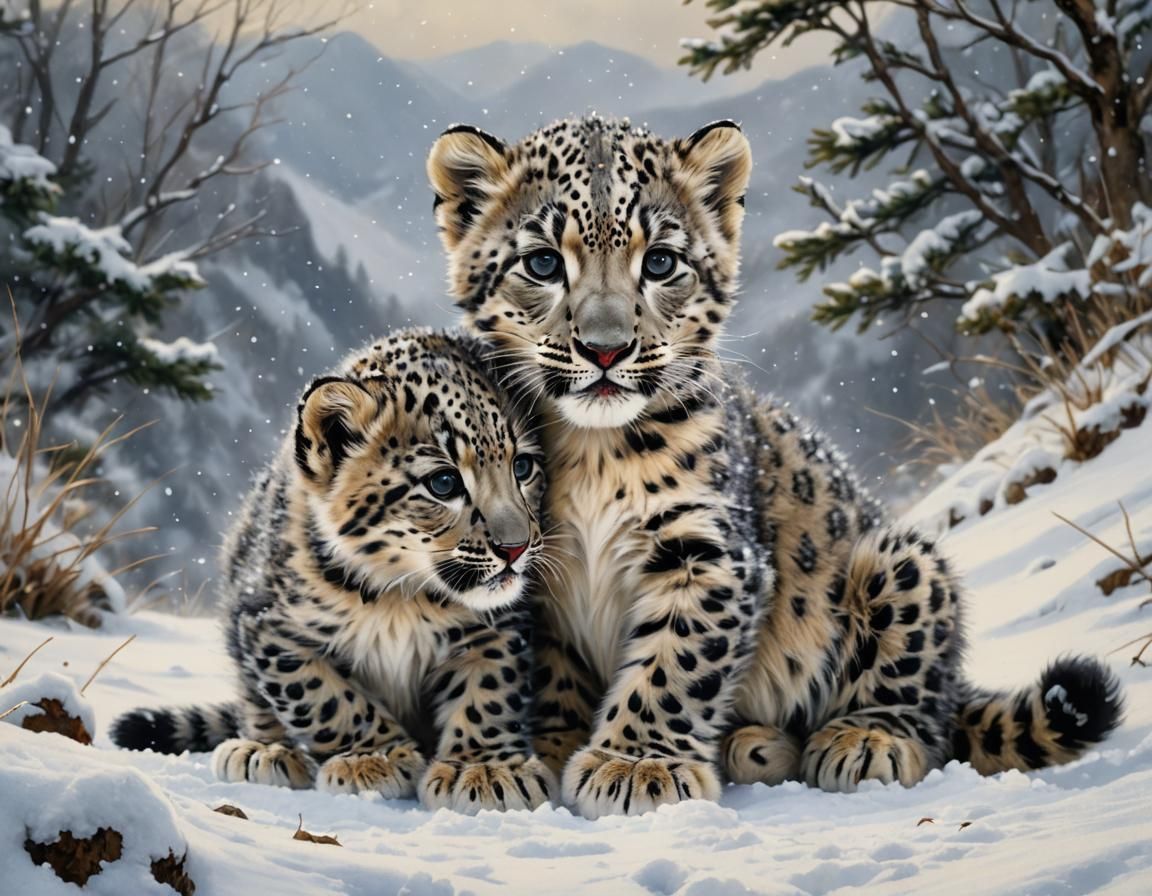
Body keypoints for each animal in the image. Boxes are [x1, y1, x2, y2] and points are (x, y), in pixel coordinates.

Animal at [111, 329, 557, 814]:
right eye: (443, 483)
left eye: (522, 466)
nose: (515, 548)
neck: (400, 598)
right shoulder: (270, 628)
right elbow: (324, 698)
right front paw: (375, 758)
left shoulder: (498, 628)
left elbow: (490, 689)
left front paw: (486, 768)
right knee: (255, 703)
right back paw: (263, 751)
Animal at [424, 115, 1124, 818]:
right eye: (542, 261)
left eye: (661, 261)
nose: (605, 348)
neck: (595, 453)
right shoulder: (534, 571)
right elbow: (553, 672)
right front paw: (551, 747)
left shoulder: (707, 549)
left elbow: (676, 663)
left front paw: (638, 764)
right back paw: (757, 745)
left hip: (901, 564)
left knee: (923, 701)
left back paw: (858, 741)